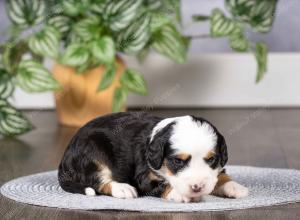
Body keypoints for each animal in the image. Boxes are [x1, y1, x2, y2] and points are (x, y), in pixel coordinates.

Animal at [57, 111, 247, 203]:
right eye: (177, 161)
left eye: (211, 159)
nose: (197, 187)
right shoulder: (145, 176)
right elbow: (163, 184)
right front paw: (181, 194)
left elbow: (220, 175)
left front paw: (234, 187)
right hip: (93, 152)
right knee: (97, 180)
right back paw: (123, 189)